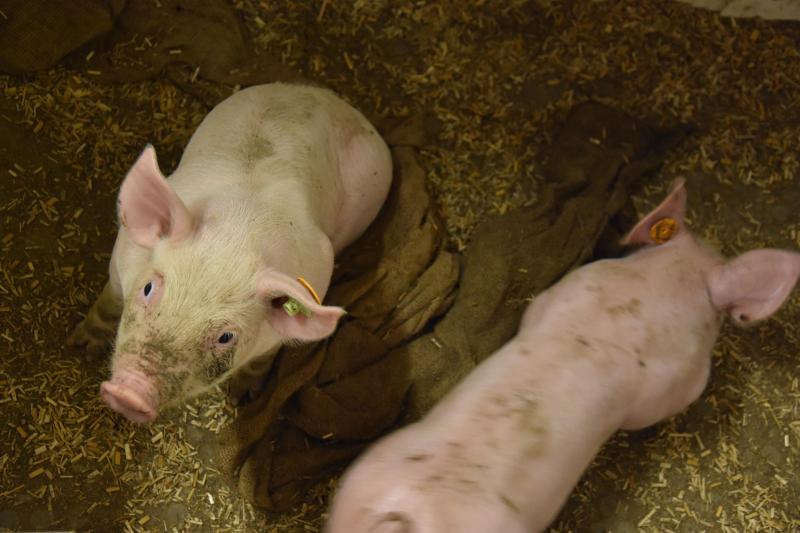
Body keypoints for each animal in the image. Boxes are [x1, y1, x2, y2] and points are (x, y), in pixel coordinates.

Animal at [67, 82, 392, 424]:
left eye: (226, 336)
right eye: (148, 288)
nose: (128, 393)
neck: (237, 231)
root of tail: (326, 96)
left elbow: (262, 359)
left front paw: (242, 398)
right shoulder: (119, 267)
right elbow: (109, 304)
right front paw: (81, 347)